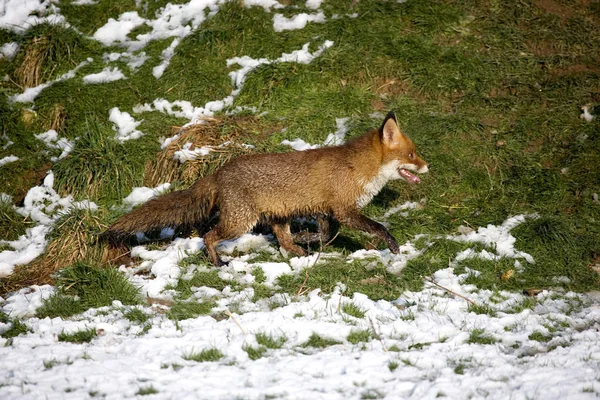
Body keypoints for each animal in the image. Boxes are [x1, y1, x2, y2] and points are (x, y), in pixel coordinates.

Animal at [105, 111, 428, 266]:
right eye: (412, 155)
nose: (427, 167)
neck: (358, 169)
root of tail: (219, 171)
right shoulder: (344, 210)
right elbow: (377, 227)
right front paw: (393, 246)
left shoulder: (326, 211)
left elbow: (326, 235)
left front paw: (308, 239)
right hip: (239, 222)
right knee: (208, 236)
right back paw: (217, 262)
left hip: (276, 216)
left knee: (283, 239)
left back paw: (299, 251)